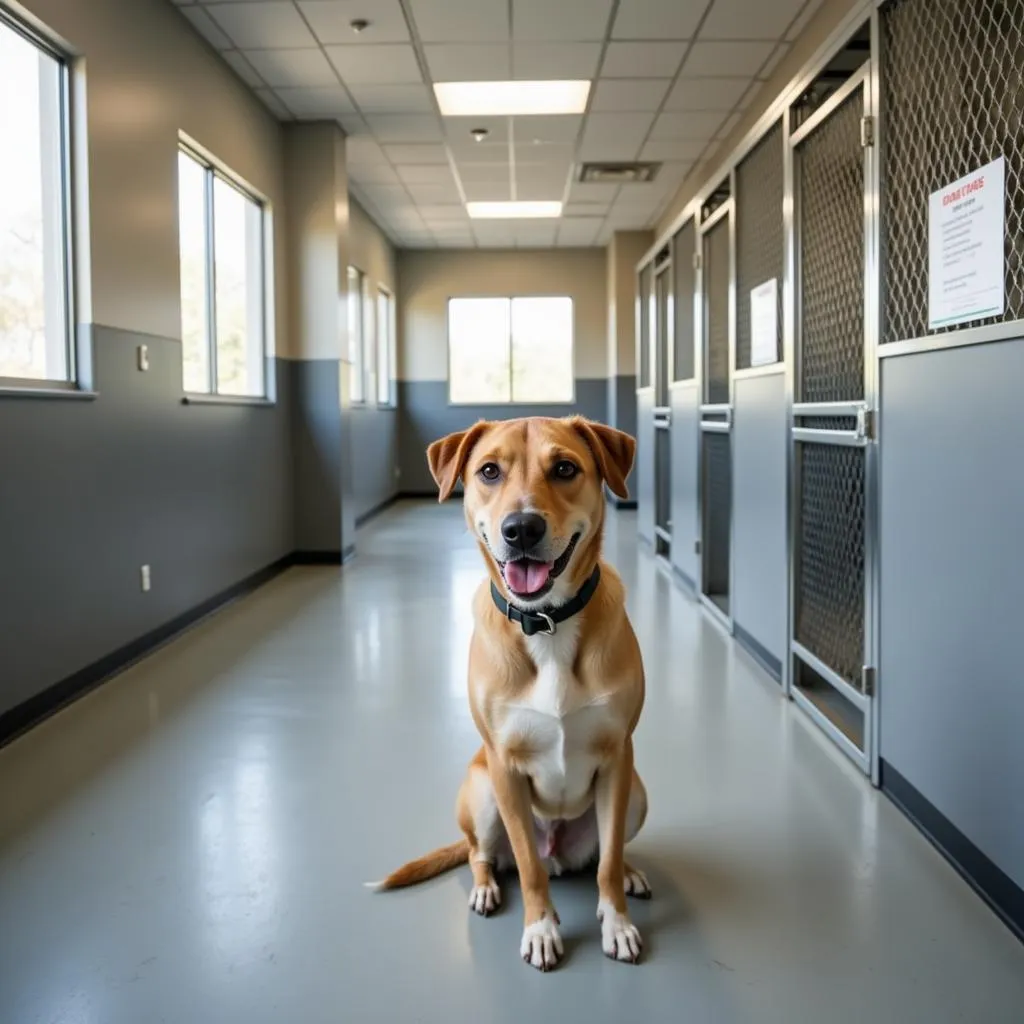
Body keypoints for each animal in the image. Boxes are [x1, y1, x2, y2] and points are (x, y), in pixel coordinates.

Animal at [368, 413, 647, 966]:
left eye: (565, 468)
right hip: (481, 794)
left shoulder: (617, 757)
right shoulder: (503, 767)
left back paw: (626, 874)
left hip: (637, 793)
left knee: (605, 854)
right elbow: (527, 866)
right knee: (486, 854)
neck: (548, 623)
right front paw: (540, 928)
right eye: (489, 471)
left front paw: (617, 921)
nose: (521, 529)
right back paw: (486, 887)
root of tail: (561, 853)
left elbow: (607, 862)